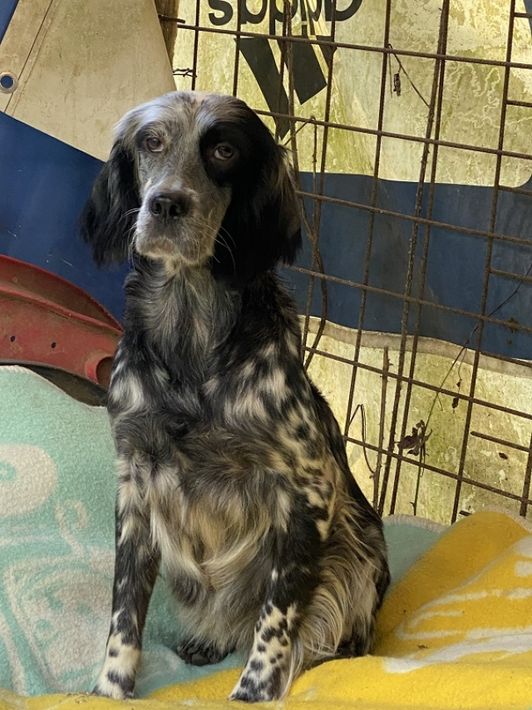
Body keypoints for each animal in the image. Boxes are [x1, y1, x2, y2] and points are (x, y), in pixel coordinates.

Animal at [81, 90, 390, 703]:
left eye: (224, 150)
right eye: (152, 141)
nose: (167, 204)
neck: (191, 334)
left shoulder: (309, 492)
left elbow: (277, 619)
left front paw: (255, 692)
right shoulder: (135, 482)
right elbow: (124, 612)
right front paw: (108, 690)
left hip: (359, 551)